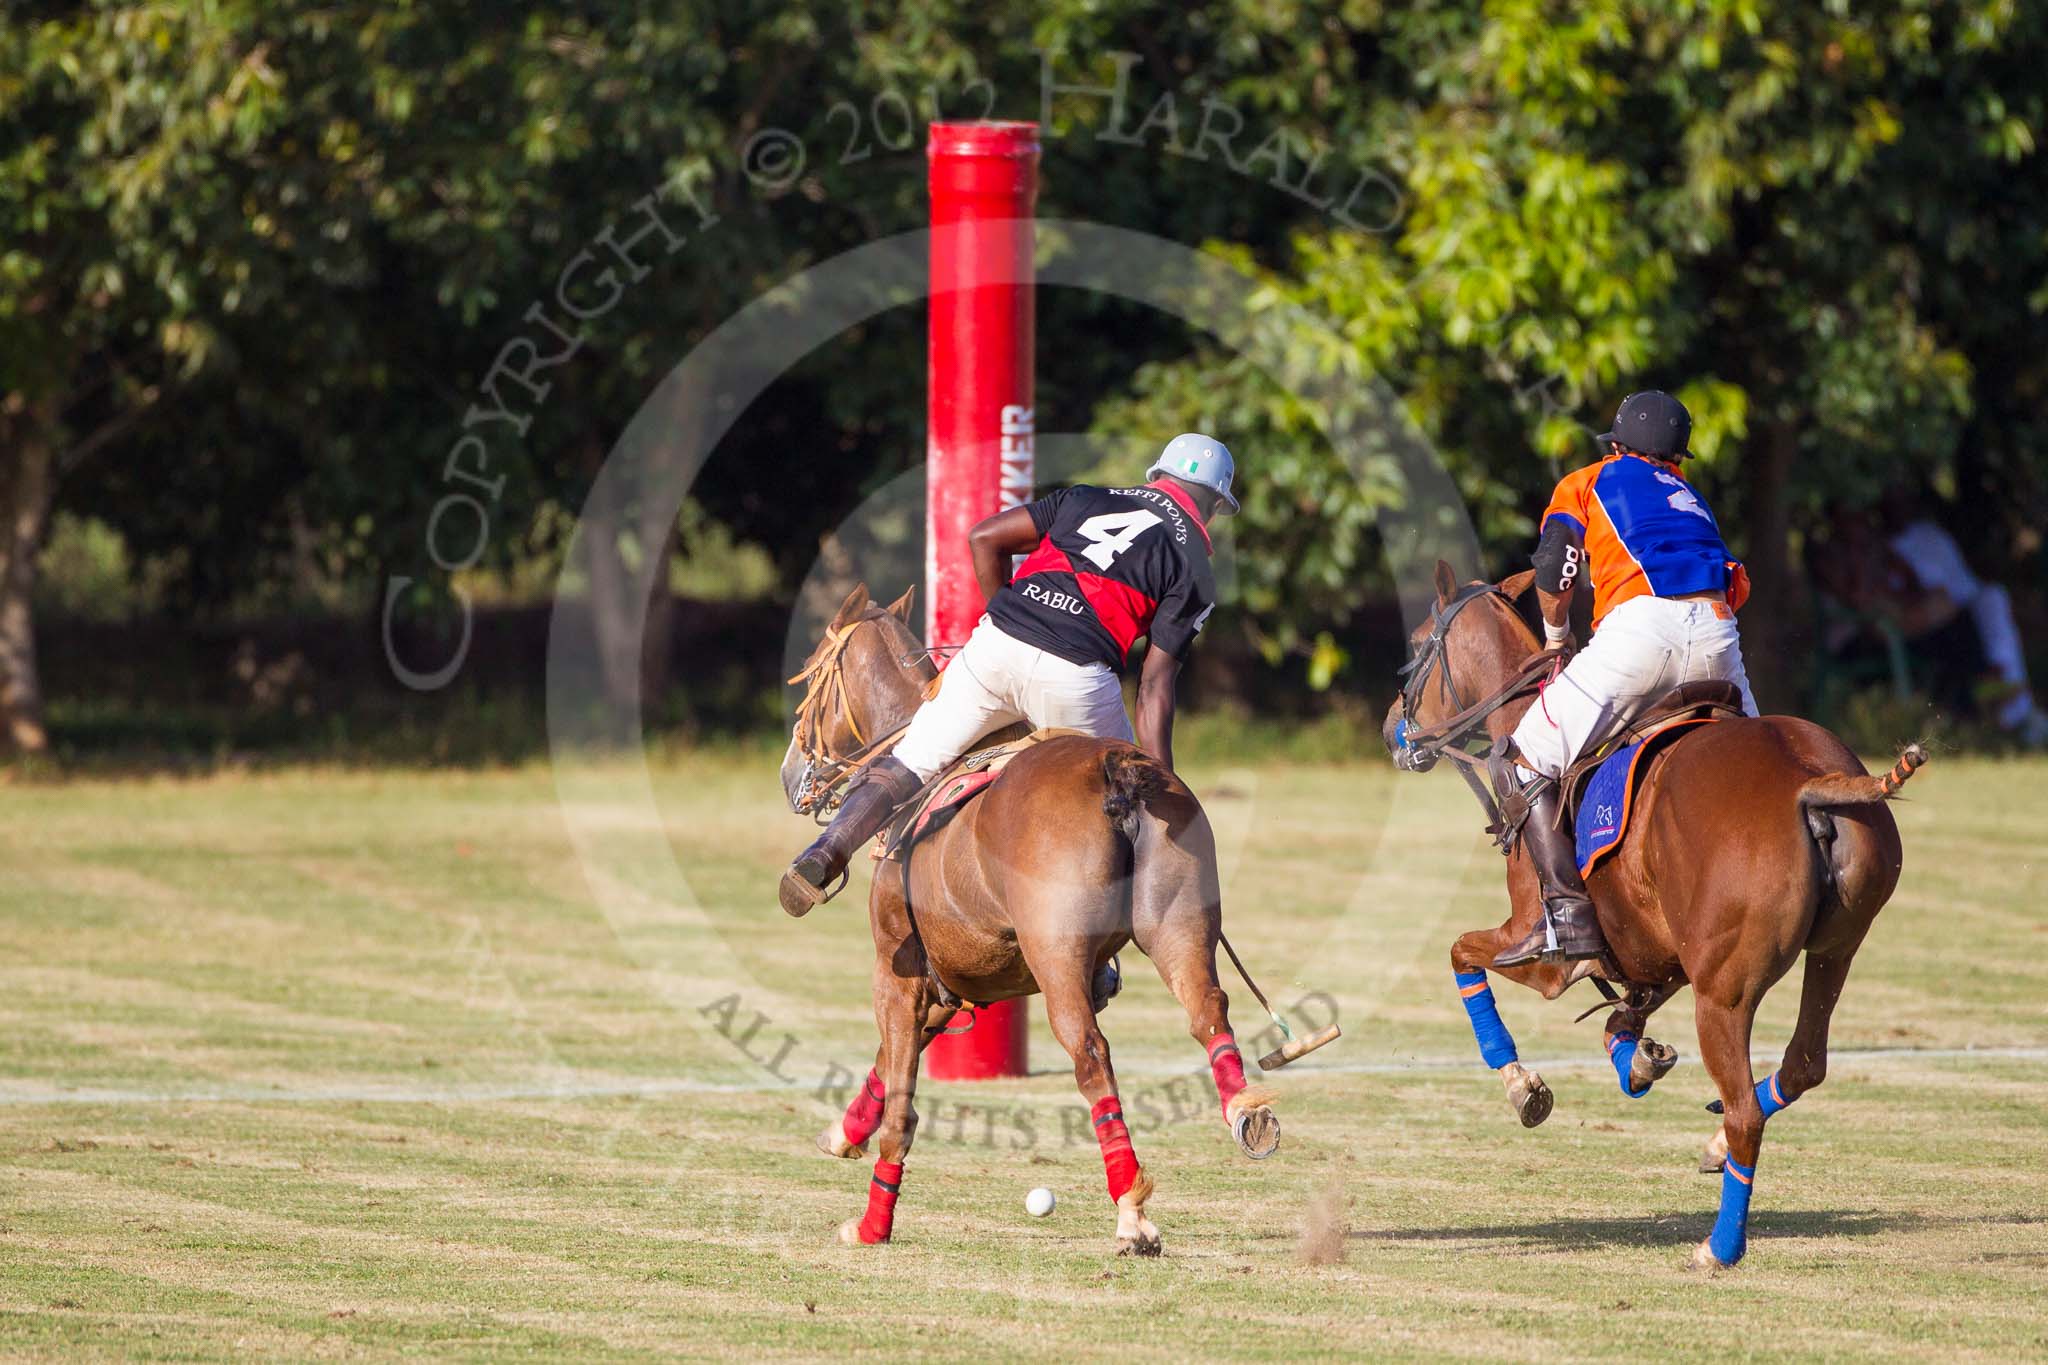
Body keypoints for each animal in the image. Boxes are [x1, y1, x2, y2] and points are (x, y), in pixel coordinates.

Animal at [774, 581, 1269, 1252]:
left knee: (1090, 1051)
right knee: (1208, 1011)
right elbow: (886, 1065)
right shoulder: (953, 985)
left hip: (1056, 953)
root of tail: (1119, 771)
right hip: (1180, 926)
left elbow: (901, 1102)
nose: (789, 774)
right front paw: (842, 1135)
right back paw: (1248, 1113)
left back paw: (1131, 1210)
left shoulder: (897, 973)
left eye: (812, 674)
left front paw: (874, 1225)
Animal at [1376, 564, 1916, 1268]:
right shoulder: (1656, 959)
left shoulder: (1541, 952)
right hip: (1834, 952)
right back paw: (1715, 1149)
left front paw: (1523, 1088)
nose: (1393, 727)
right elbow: (1619, 1023)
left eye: (1417, 644)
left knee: (1745, 1109)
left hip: (1724, 991)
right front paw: (1640, 1059)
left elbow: (1461, 953)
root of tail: (1812, 783)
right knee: (1803, 1063)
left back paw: (1719, 1248)